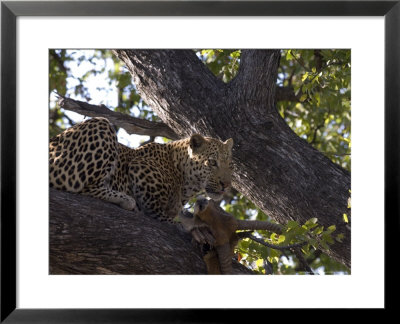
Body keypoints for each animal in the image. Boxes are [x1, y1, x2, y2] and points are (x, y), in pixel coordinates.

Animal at [48, 117, 233, 221]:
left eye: (229, 165)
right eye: (212, 162)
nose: (226, 185)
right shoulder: (139, 167)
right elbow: (159, 211)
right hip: (101, 124)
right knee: (83, 187)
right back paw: (125, 199)